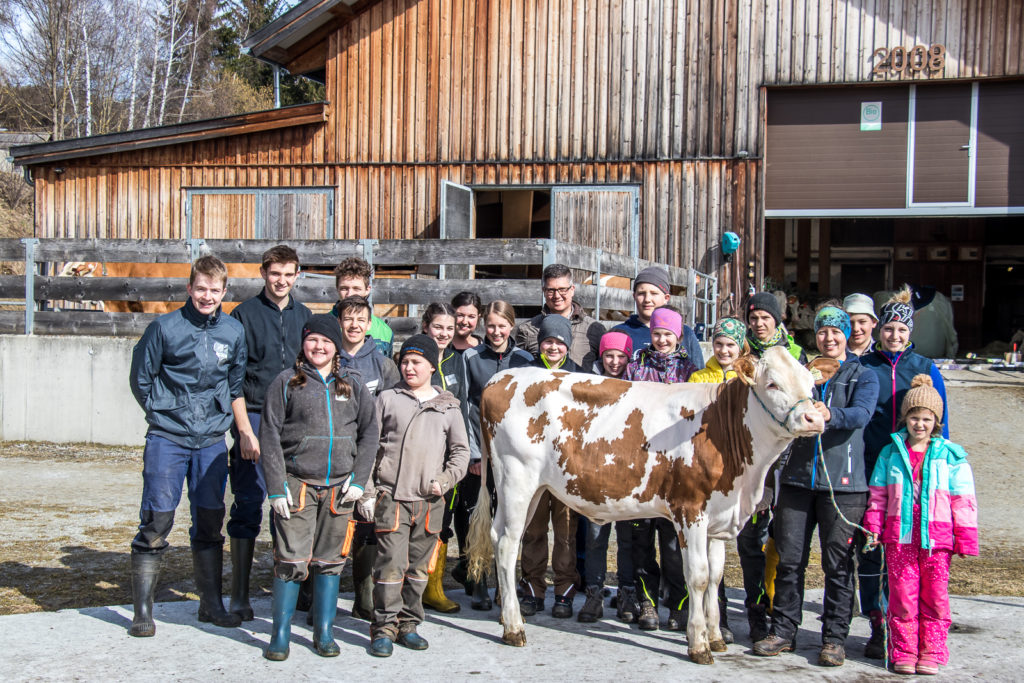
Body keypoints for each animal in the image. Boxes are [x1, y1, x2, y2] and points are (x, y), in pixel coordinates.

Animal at [468, 344, 827, 663]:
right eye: (773, 383)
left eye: (810, 384)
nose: (814, 418)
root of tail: (503, 377)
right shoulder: (689, 509)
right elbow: (697, 576)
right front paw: (699, 645)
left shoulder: (719, 514)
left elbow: (715, 576)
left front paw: (715, 637)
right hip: (516, 479)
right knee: (508, 544)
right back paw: (514, 628)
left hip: (533, 489)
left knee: (500, 536)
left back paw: (506, 617)